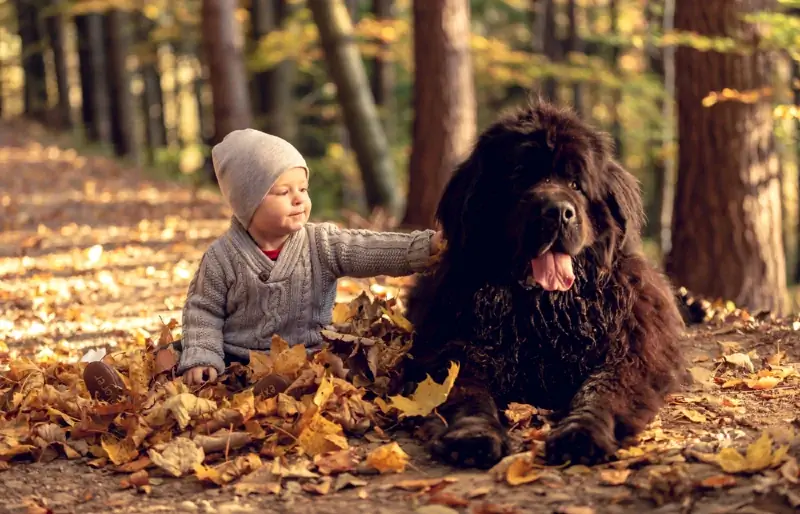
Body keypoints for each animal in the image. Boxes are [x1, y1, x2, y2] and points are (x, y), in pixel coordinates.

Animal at [406, 100, 688, 468]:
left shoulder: (632, 353)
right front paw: (473, 437)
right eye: (519, 178)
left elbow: (603, 389)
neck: (545, 310)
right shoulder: (450, 350)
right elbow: (464, 391)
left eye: (576, 184)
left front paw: (581, 435)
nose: (557, 211)